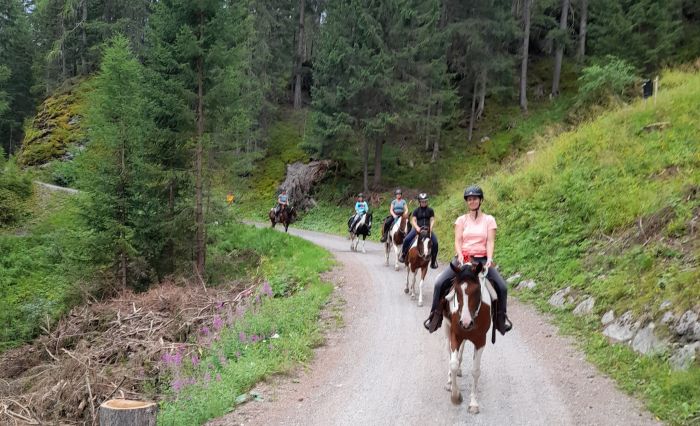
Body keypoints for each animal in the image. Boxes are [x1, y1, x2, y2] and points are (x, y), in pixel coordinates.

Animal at [442, 260, 498, 412]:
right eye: (456, 290)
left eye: (477, 290)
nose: (466, 323)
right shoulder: (455, 334)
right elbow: (453, 363)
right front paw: (456, 396)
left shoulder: (480, 341)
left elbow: (475, 371)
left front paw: (473, 403)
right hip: (447, 328)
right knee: (449, 353)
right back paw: (449, 381)